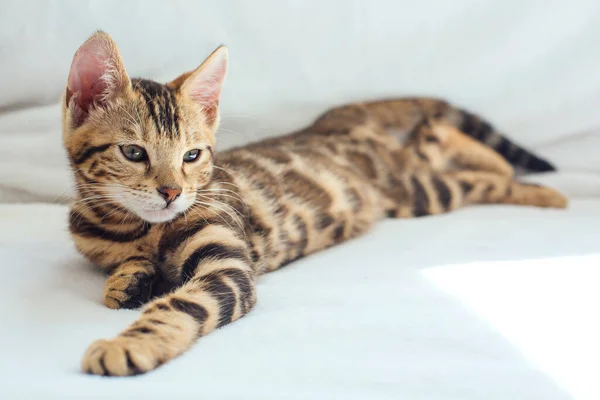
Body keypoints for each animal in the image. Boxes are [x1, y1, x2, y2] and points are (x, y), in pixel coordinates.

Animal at [61, 30, 568, 376]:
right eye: (133, 153)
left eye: (192, 156)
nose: (172, 193)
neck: (136, 226)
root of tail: (334, 121)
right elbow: (120, 267)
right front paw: (128, 280)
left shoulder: (228, 266)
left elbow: (182, 304)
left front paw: (129, 342)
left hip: (411, 188)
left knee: (458, 156)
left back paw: (546, 191)